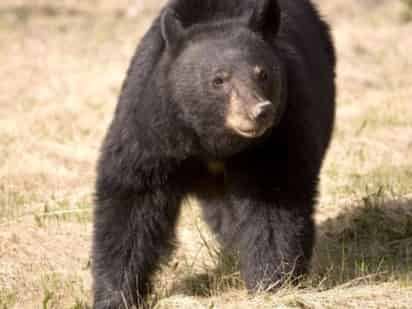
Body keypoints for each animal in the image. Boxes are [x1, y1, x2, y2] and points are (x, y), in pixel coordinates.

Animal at [92, 0, 334, 304]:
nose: (259, 112)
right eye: (219, 79)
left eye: (263, 73)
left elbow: (274, 202)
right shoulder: (153, 132)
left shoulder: (278, 136)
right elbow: (132, 201)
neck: (210, 140)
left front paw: (273, 283)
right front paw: (116, 294)